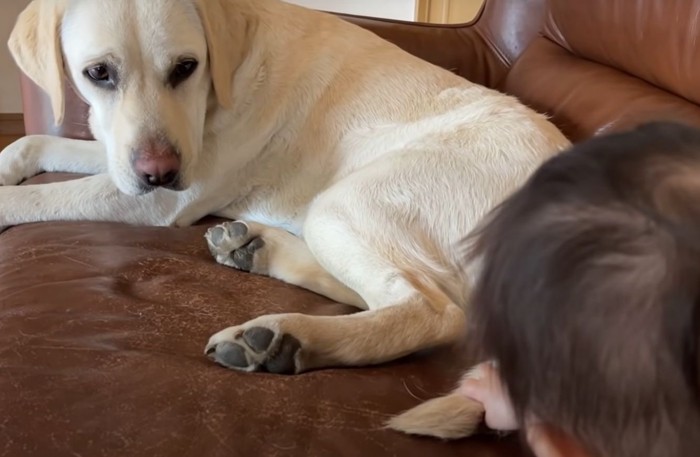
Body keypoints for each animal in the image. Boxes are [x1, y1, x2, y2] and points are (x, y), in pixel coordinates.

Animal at [0, 0, 568, 434]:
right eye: (98, 73)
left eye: (185, 67)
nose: (160, 171)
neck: (227, 72)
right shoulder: (121, 161)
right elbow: (38, 141)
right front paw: (10, 162)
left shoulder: (160, 199)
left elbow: (37, 199)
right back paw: (255, 250)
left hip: (346, 205)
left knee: (429, 310)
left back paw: (285, 337)